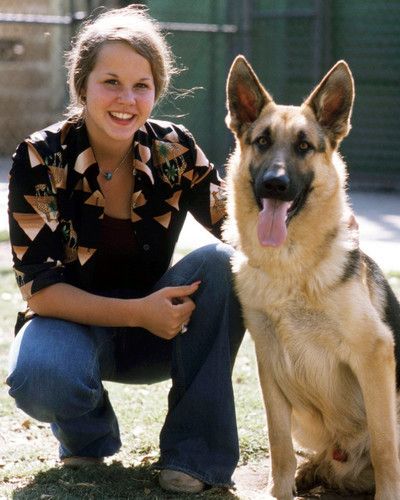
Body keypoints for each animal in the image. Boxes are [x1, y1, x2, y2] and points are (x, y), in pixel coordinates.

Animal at [223, 55, 400, 500]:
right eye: (262, 141)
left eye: (304, 147)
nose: (275, 184)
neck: (291, 269)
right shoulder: (269, 363)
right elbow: (279, 446)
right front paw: (281, 490)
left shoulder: (375, 355)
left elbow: (386, 447)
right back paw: (315, 470)